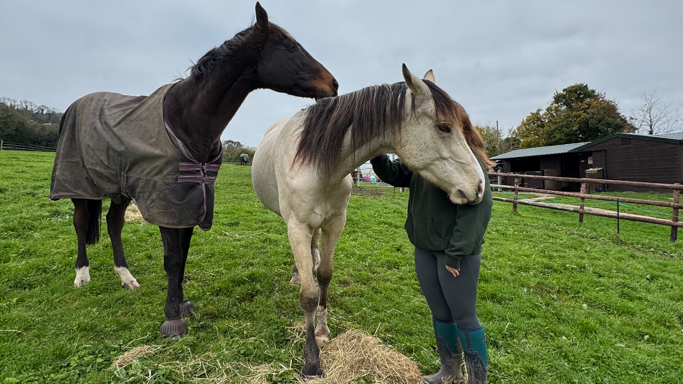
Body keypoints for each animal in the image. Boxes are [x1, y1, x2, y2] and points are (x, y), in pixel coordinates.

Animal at [49, 2, 338, 340]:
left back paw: (126, 276)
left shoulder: (188, 203)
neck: (185, 121)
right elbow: (172, 259)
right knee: (81, 223)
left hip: (121, 190)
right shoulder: (166, 204)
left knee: (113, 223)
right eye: (290, 46)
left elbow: (183, 254)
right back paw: (82, 274)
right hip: (80, 186)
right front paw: (172, 317)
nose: (333, 84)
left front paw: (183, 303)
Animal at [251, 65, 486, 378]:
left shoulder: (335, 224)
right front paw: (311, 361)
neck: (318, 164)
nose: (478, 187)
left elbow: (324, 275)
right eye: (444, 127)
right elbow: (309, 295)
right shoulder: (297, 227)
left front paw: (323, 330)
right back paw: (297, 273)